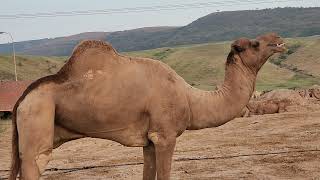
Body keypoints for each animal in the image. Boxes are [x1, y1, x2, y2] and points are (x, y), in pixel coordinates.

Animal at [10, 32, 286, 180]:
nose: (279, 40)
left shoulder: (149, 141)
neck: (190, 98)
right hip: (38, 119)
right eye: (255, 44)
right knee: (35, 162)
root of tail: (21, 99)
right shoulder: (165, 136)